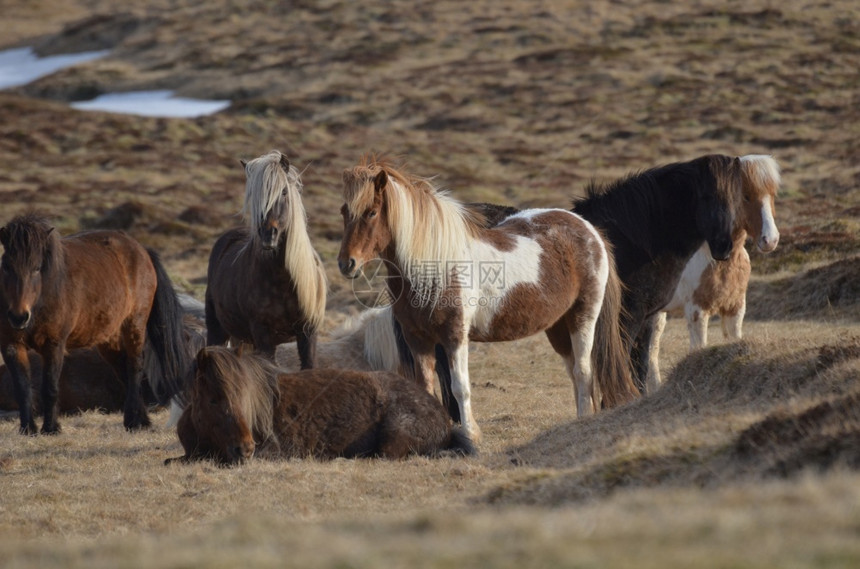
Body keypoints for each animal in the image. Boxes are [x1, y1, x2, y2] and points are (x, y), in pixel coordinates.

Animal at [0, 215, 190, 432]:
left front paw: (50, 428)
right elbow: (22, 389)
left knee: (134, 367)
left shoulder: (54, 344)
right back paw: (140, 419)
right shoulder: (11, 346)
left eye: (37, 268)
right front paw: (28, 429)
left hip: (134, 325)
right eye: (6, 266)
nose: (19, 317)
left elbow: (50, 387)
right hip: (110, 339)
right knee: (122, 370)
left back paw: (133, 422)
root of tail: (141, 249)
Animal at [207, 150, 328, 368]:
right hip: (217, 330)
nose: (268, 235)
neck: (283, 280)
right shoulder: (262, 333)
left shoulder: (308, 332)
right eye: (255, 197)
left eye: (284, 192)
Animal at [336, 154, 640, 440]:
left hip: (583, 316)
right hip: (557, 327)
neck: (434, 266)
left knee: (584, 371)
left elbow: (460, 387)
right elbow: (425, 388)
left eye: (371, 212)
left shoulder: (455, 335)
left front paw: (471, 434)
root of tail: (589, 229)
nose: (346, 263)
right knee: (574, 370)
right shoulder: (417, 338)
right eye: (344, 211)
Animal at [648, 155, 784, 390]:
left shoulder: (735, 308)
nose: (770, 240)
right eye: (746, 196)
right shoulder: (697, 311)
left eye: (772, 195)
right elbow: (698, 348)